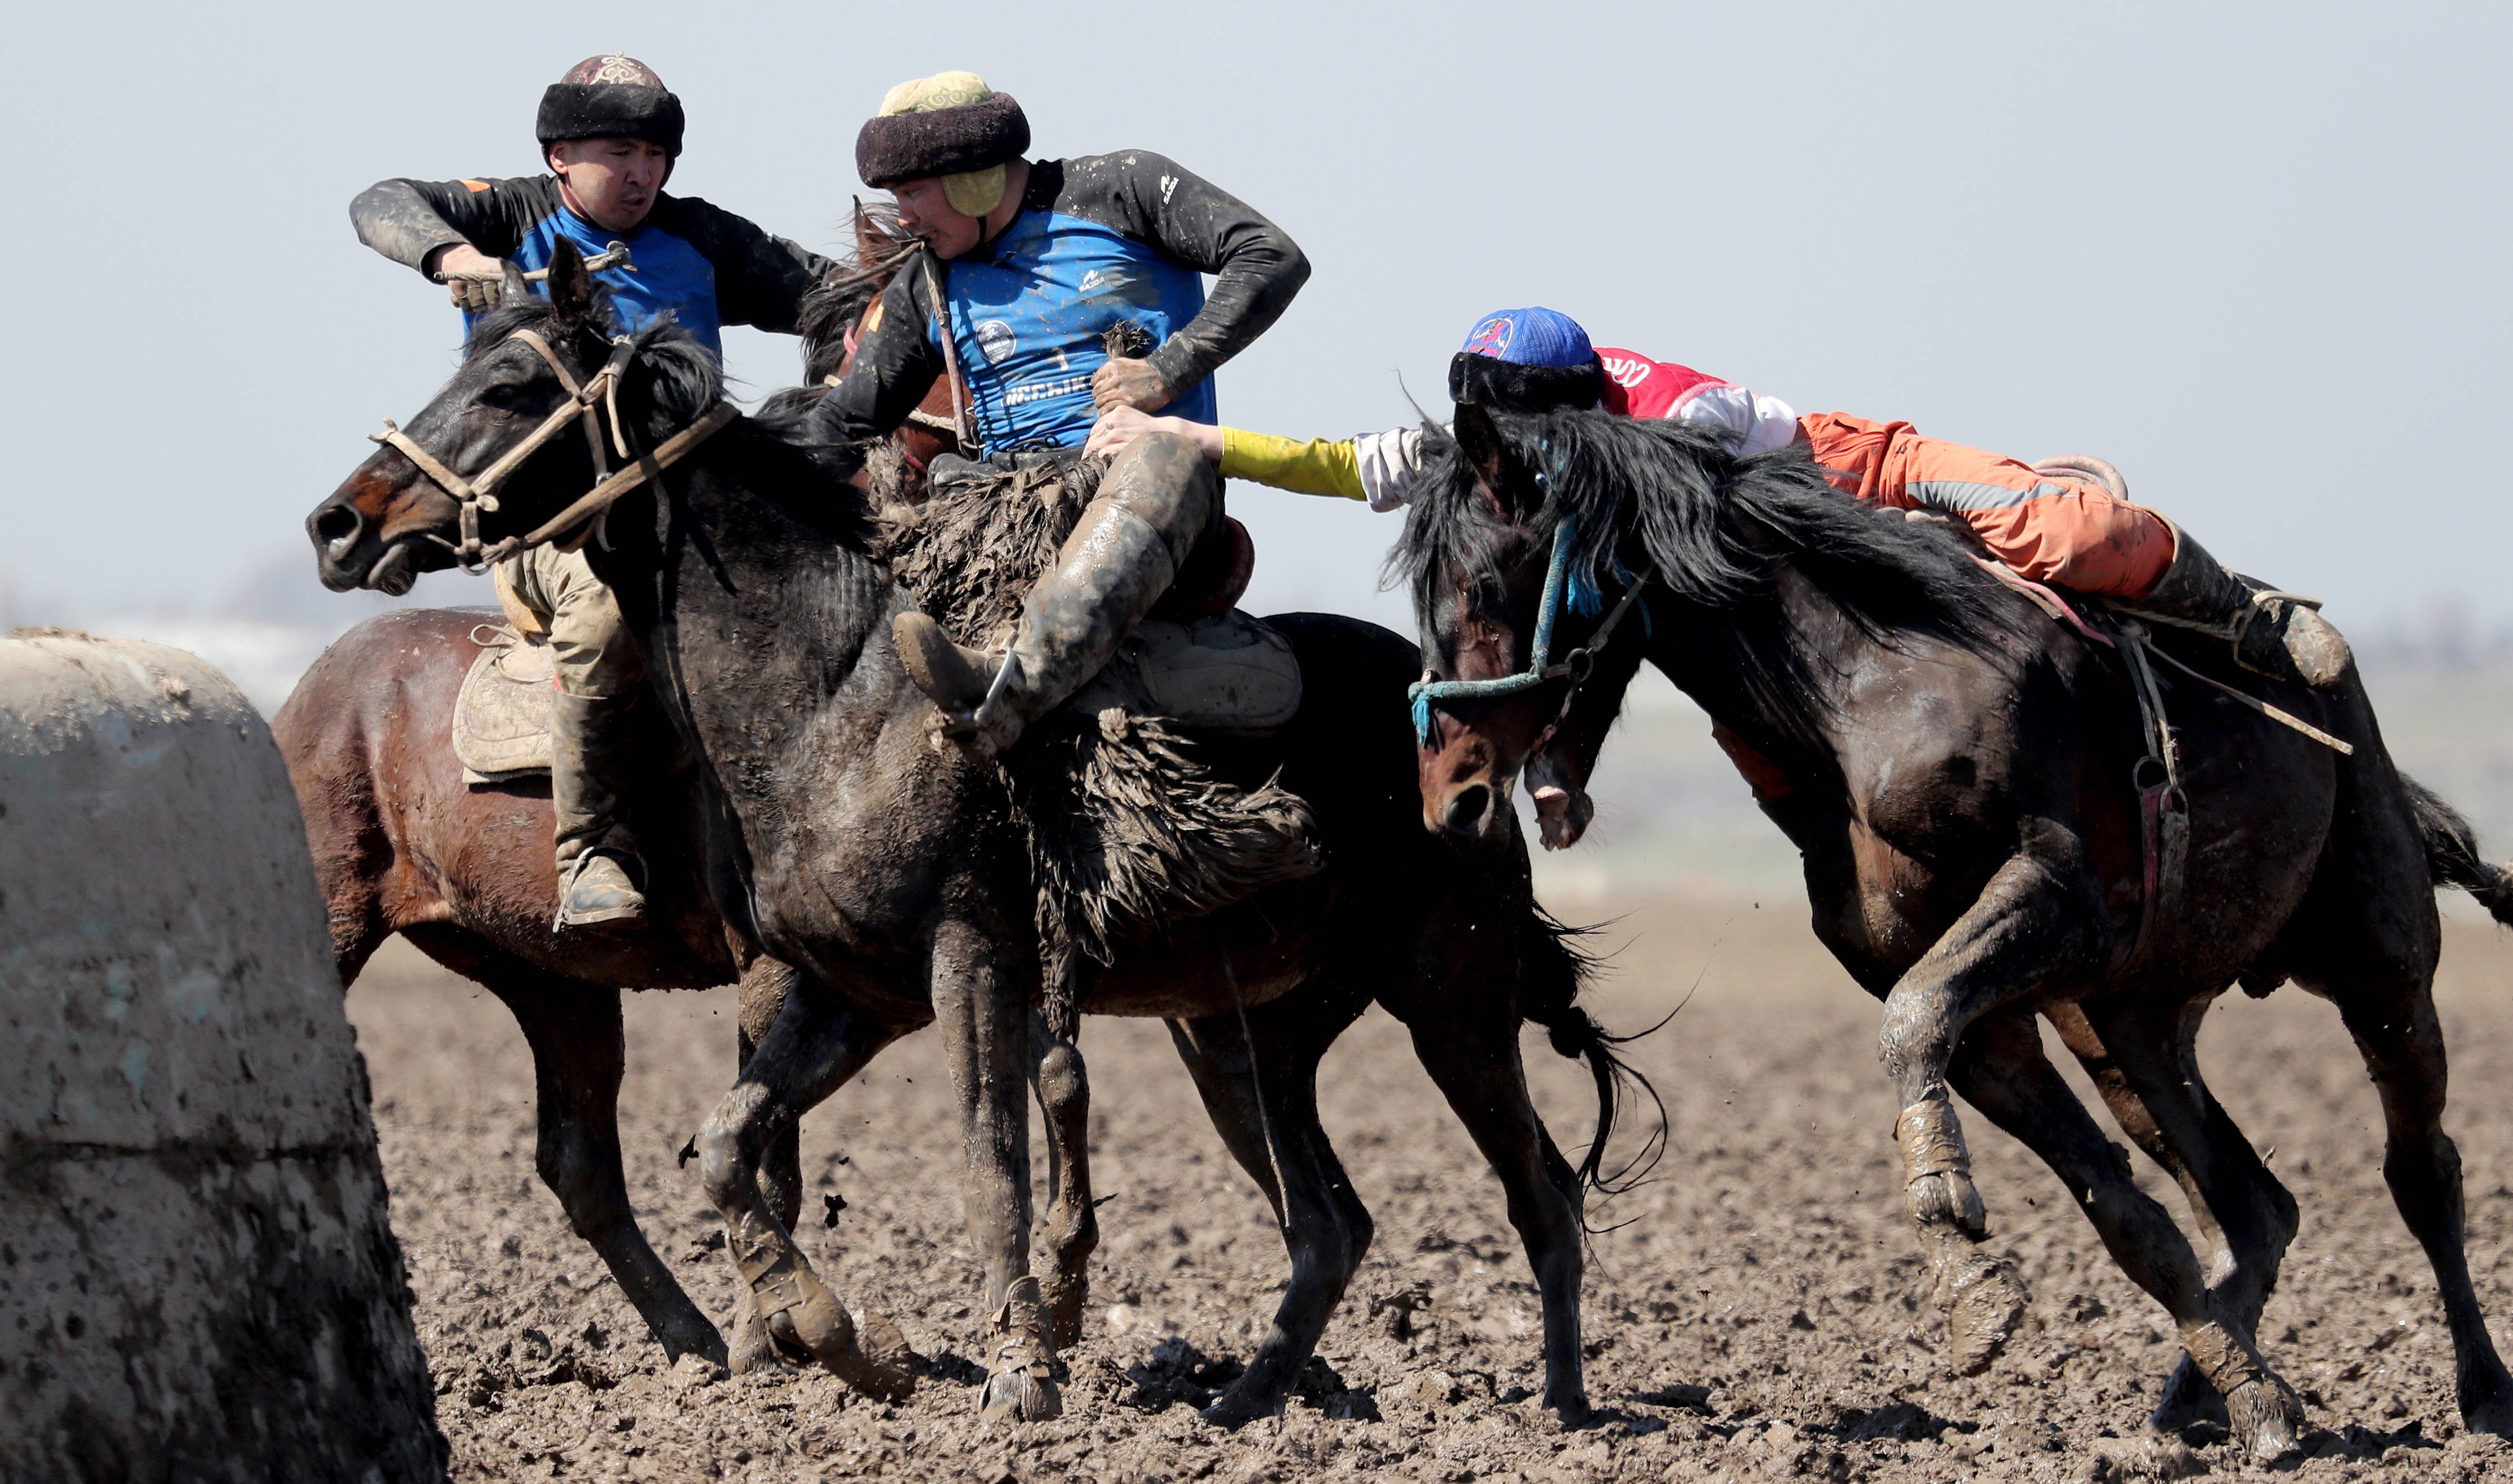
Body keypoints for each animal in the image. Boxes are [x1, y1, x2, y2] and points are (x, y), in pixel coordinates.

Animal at [1397, 404, 2513, 1466]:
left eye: (1484, 583)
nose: (1450, 797)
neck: (1867, 684)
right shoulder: (1988, 1016)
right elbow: (2122, 1212)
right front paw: (2239, 1392)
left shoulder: (2053, 891)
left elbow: (1912, 1023)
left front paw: (1951, 1236)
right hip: (2131, 1028)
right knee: (2251, 1203)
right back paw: (2203, 1390)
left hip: (2378, 955)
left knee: (2420, 1169)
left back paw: (2483, 1393)